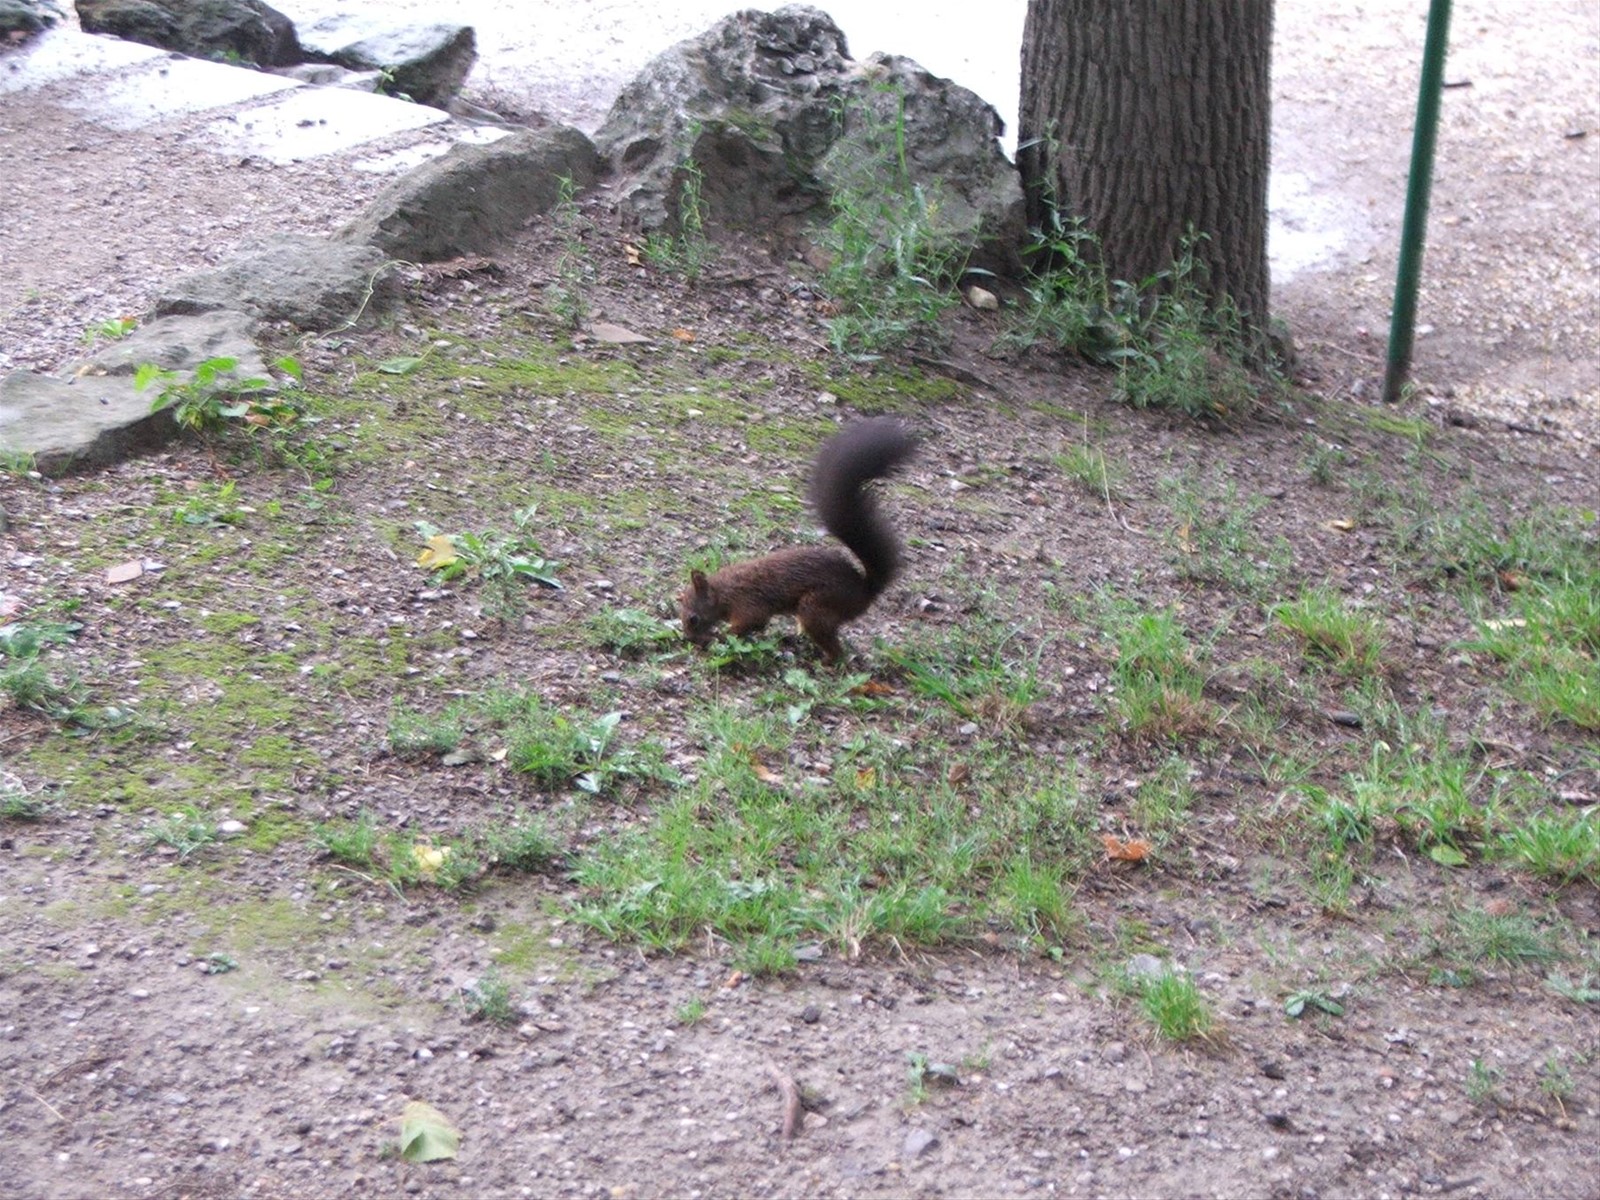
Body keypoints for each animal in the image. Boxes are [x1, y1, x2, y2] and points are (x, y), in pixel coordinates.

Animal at [679, 417, 918, 664]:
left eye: (693, 618)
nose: (689, 639)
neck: (724, 592)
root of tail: (864, 592)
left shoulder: (748, 603)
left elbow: (753, 622)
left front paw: (720, 637)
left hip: (816, 606)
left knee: (836, 650)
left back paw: (826, 662)